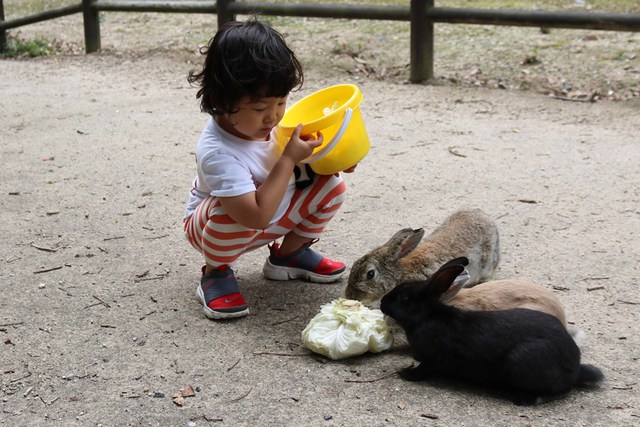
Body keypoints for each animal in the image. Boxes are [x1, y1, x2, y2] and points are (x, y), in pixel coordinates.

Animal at [380, 256, 604, 406]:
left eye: (404, 299)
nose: (382, 303)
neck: (427, 316)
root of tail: (575, 368)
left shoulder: (432, 361)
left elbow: (423, 370)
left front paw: (405, 373)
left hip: (523, 357)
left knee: (559, 390)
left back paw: (527, 399)